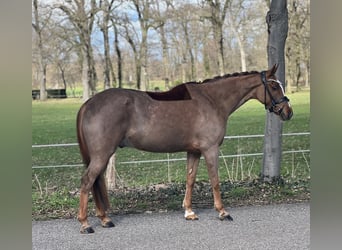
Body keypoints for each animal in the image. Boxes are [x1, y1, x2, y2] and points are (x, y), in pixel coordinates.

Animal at [77, 64, 292, 232]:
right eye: (274, 85)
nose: (288, 112)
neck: (212, 101)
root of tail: (88, 104)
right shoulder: (210, 150)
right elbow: (215, 181)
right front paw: (222, 212)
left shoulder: (194, 152)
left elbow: (190, 180)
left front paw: (189, 212)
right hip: (102, 155)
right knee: (88, 181)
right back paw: (85, 224)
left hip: (102, 156)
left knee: (96, 181)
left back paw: (105, 219)